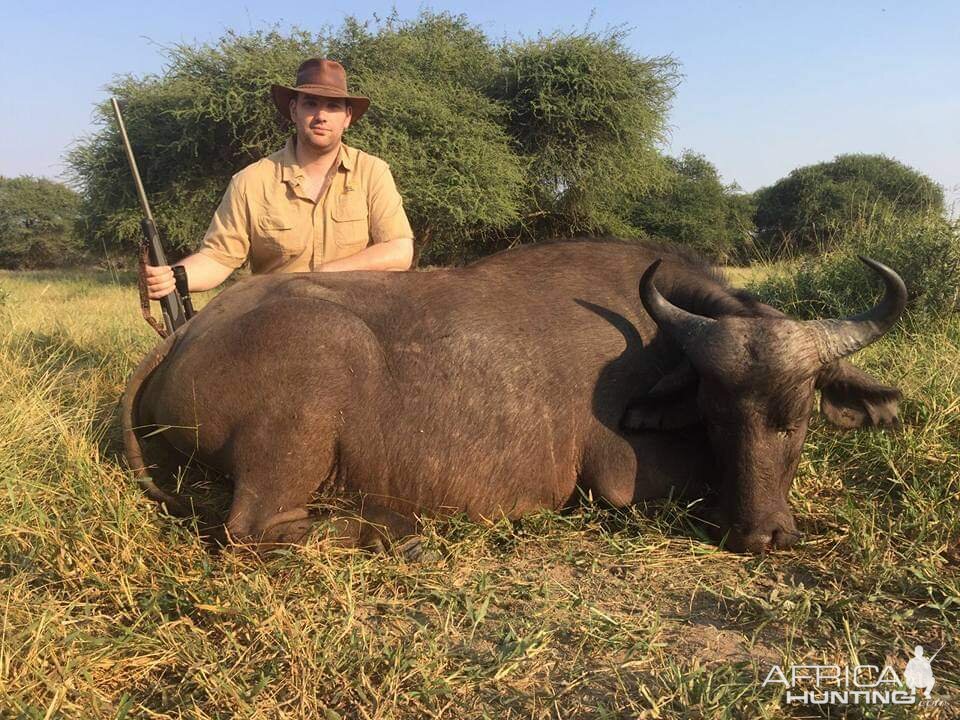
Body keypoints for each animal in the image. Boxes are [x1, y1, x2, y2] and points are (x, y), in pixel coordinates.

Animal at [122, 239, 908, 556]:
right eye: (715, 414)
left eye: (796, 416)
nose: (761, 535)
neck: (655, 329)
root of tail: (189, 334)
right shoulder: (617, 478)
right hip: (304, 408)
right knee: (249, 530)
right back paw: (395, 533)